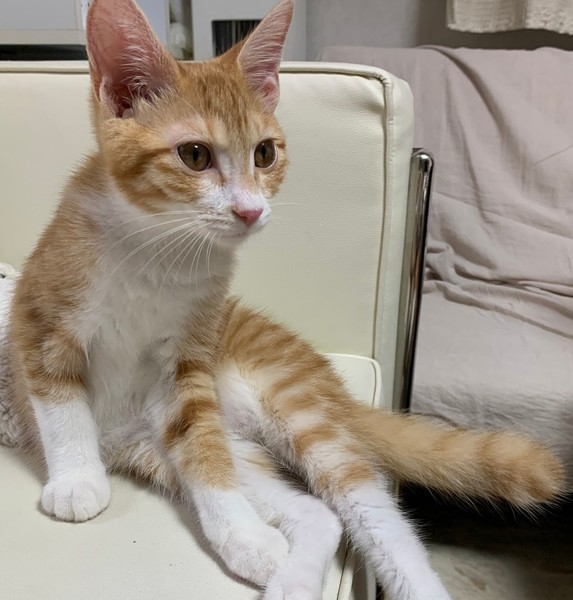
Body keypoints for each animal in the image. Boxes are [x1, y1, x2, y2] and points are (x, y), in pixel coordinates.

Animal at [1, 1, 564, 599]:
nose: (250, 210)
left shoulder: (188, 364)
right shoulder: (39, 318)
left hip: (296, 405)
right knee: (315, 512)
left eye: (265, 153)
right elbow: (60, 405)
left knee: (363, 505)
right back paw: (275, 565)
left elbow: (204, 452)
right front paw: (78, 477)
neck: (157, 248)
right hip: (181, 446)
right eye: (194, 154)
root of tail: (334, 389)